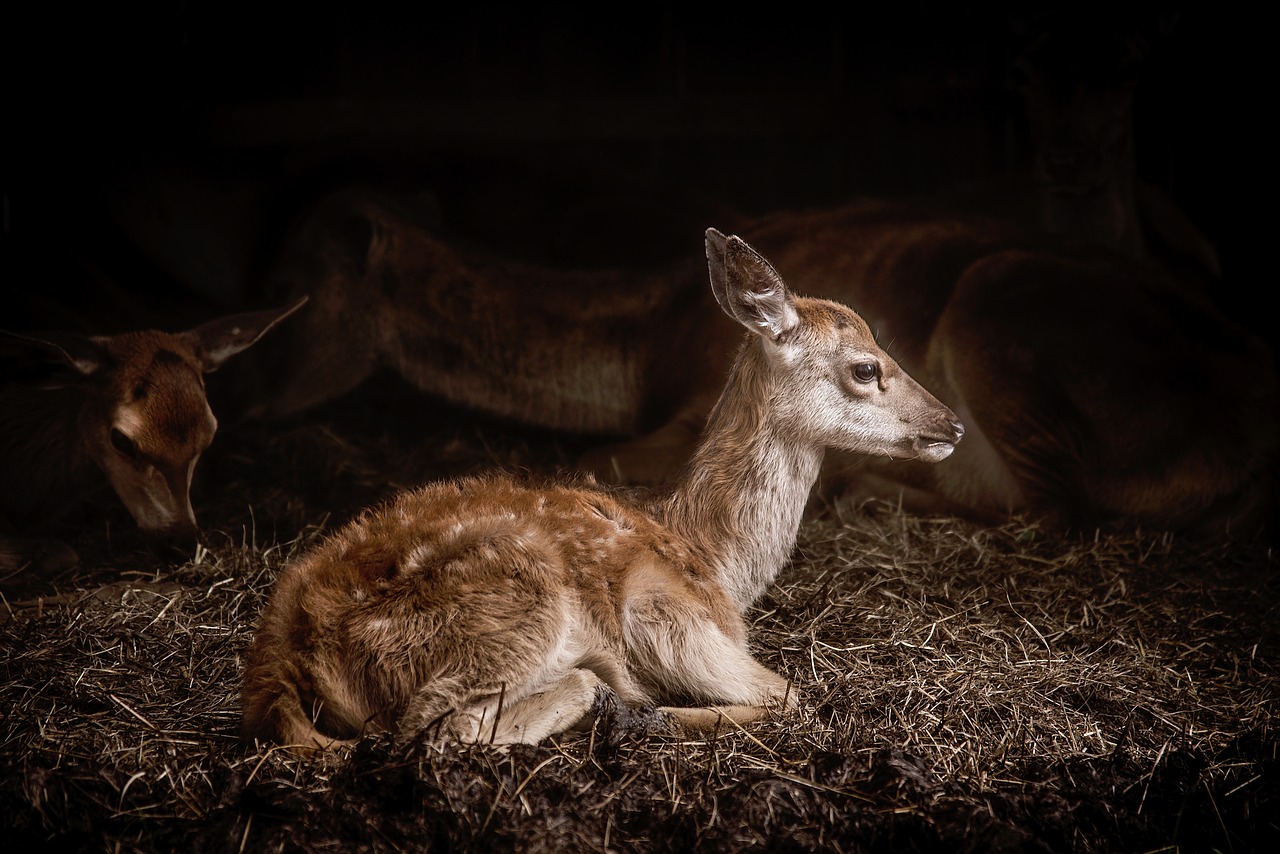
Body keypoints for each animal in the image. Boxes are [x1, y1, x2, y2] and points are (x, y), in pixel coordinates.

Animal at [213, 187, 1277, 541]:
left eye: (291, 293)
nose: (238, 409)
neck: (641, 337)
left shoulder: (692, 405)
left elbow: (588, 464)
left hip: (1001, 303)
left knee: (1058, 513)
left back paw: (871, 492)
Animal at [238, 228, 963, 753]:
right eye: (866, 368)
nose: (951, 424)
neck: (715, 561)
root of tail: (281, 655)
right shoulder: (668, 614)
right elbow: (792, 697)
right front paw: (649, 712)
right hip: (515, 610)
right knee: (439, 728)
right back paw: (612, 702)